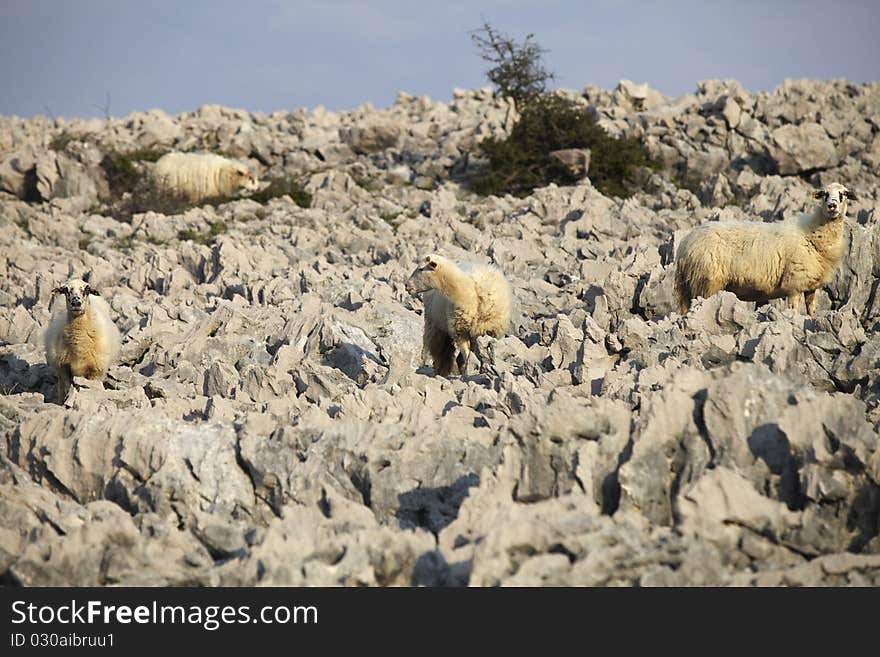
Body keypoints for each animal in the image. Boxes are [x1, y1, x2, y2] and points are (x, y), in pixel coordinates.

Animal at [672, 182, 860, 316]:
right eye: (824, 194)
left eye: (843, 194)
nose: (832, 206)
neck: (813, 233)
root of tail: (684, 245)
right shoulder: (794, 283)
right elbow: (794, 309)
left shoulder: (810, 284)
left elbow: (811, 309)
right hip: (706, 283)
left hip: (689, 286)